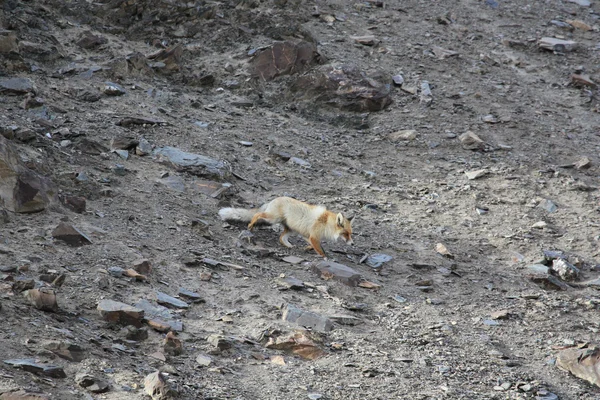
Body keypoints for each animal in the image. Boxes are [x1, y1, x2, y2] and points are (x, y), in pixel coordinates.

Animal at [218, 196, 354, 258]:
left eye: (350, 233)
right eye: (346, 233)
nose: (352, 244)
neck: (326, 224)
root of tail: (274, 199)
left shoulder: (308, 235)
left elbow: (313, 245)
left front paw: (307, 248)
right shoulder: (313, 236)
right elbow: (321, 250)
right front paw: (325, 258)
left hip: (291, 229)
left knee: (281, 238)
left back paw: (289, 245)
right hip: (272, 219)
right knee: (257, 214)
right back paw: (251, 225)